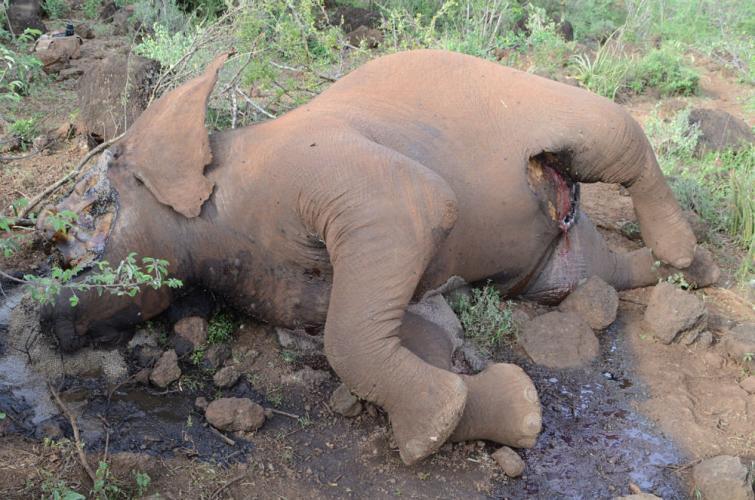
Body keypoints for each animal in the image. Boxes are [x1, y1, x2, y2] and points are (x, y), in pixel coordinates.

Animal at [39, 49, 720, 464]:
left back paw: (685, 249)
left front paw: (430, 432)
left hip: (556, 112)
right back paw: (694, 271)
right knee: (592, 272)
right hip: (557, 259)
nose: (44, 320)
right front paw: (516, 413)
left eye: (94, 203)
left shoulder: (317, 169)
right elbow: (396, 330)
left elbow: (416, 217)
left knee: (619, 139)